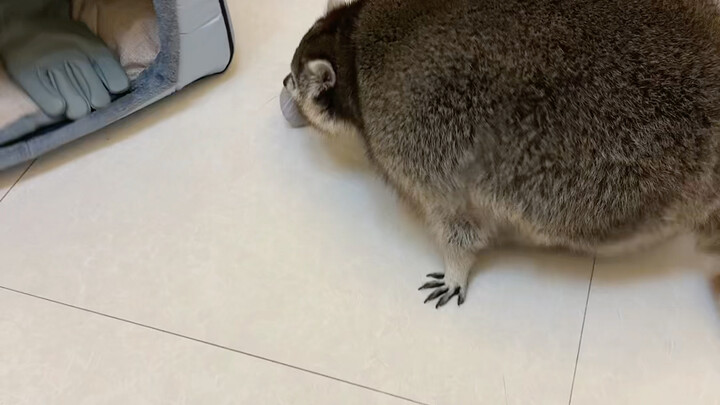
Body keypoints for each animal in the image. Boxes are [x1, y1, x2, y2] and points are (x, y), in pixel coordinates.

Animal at [283, 0, 720, 307]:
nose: (284, 82)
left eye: (294, 77)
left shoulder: (415, 142)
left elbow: (459, 222)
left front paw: (457, 267)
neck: (351, 47)